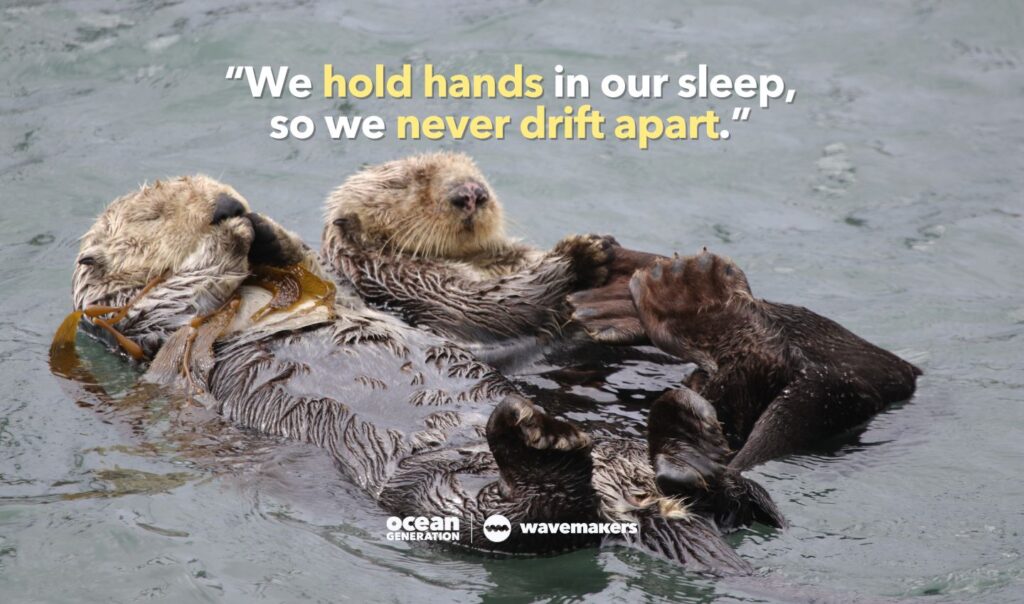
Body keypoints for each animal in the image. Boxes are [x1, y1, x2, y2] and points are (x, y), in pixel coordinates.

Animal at [56, 176, 784, 574]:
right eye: (152, 214)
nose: (223, 203)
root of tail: (636, 502)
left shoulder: (325, 276)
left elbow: (301, 258)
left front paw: (259, 224)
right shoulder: (140, 322)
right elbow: (183, 293)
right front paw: (229, 237)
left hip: (627, 458)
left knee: (744, 497)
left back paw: (688, 432)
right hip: (437, 494)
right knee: (527, 521)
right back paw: (544, 444)